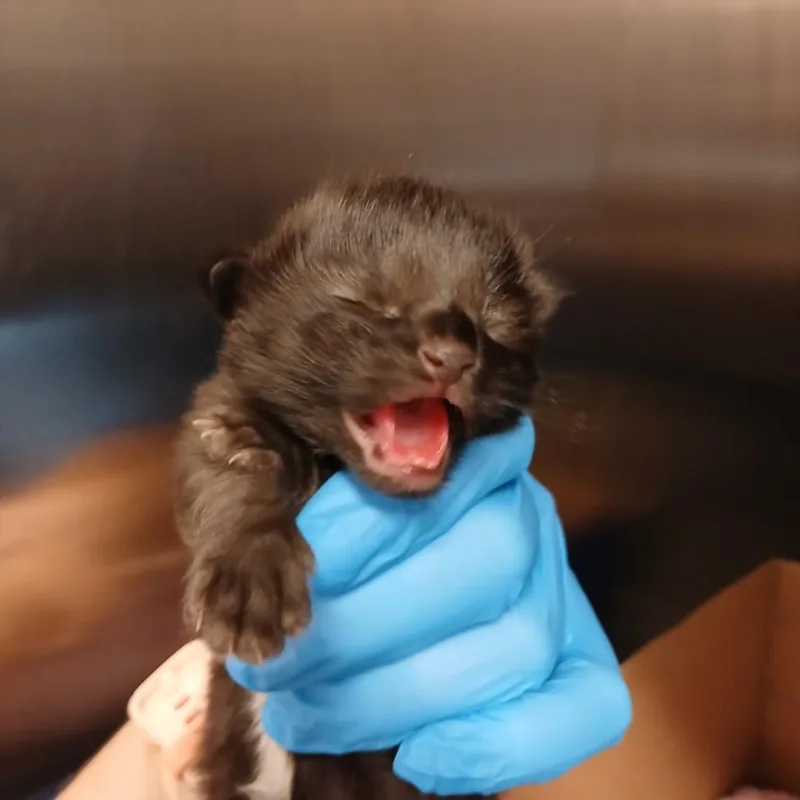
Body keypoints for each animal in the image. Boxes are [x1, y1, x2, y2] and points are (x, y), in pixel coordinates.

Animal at [174, 175, 561, 800]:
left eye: (492, 321)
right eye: (363, 302)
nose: (452, 354)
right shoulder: (218, 411)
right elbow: (234, 469)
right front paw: (249, 575)